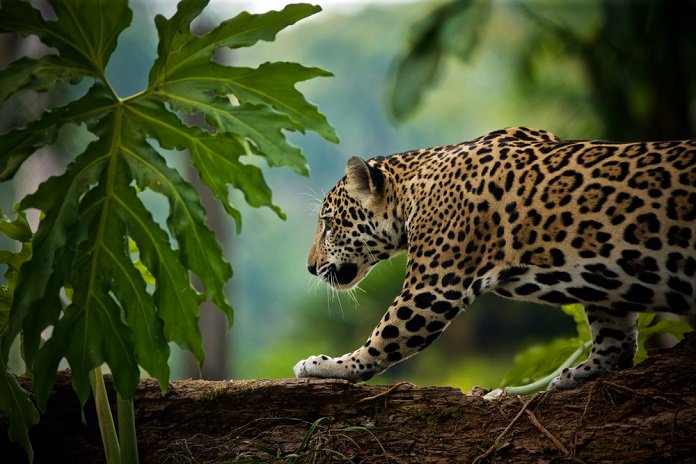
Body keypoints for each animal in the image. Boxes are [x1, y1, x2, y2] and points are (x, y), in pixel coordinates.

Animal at [293, 127, 696, 390]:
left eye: (328, 223)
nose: (309, 268)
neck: (412, 189)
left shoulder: (433, 289)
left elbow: (384, 338)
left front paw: (327, 365)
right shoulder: (604, 285)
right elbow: (615, 335)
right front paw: (583, 372)